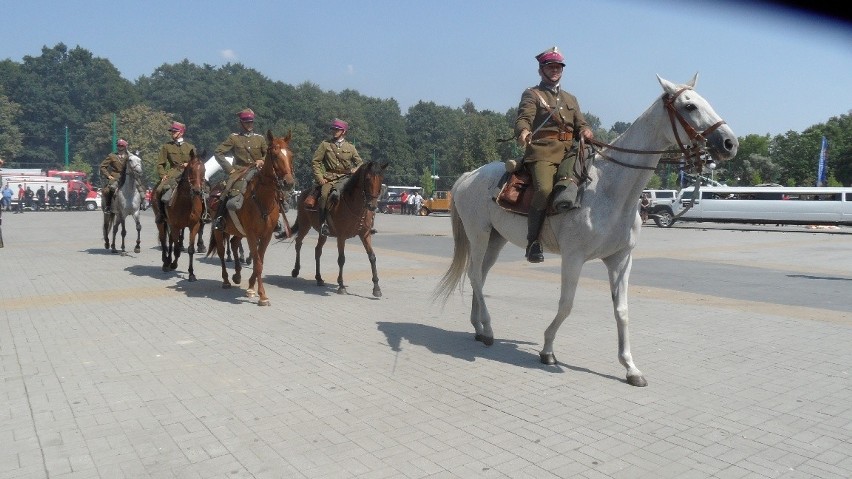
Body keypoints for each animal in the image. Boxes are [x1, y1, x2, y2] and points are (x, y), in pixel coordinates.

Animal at [155, 148, 206, 280]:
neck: (186, 201)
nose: (197, 191)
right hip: (161, 221)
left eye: (204, 170)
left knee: (171, 240)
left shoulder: (194, 226)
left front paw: (191, 273)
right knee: (164, 239)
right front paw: (173, 264)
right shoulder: (175, 226)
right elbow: (177, 248)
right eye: (191, 169)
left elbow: (190, 249)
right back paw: (166, 262)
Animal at [206, 129, 296, 306]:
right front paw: (262, 295)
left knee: (234, 244)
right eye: (275, 155)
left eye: (290, 155)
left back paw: (237, 275)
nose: (288, 182)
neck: (262, 198)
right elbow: (258, 262)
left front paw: (251, 288)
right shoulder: (252, 234)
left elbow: (258, 260)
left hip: (239, 232)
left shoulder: (265, 235)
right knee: (221, 252)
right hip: (220, 231)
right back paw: (226, 280)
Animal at [292, 160, 388, 296]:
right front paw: (341, 285)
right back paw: (295, 270)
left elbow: (372, 257)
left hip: (322, 233)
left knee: (317, 250)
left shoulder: (365, 234)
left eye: (381, 179)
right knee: (298, 243)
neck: (356, 206)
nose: (372, 206)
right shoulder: (341, 236)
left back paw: (319, 278)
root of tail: (303, 193)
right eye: (368, 179)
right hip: (304, 224)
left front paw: (376, 288)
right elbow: (341, 259)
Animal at [436, 76, 736, 390]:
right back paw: (489, 329)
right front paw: (547, 350)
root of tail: (468, 176)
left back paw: (479, 327)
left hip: (497, 239)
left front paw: (630, 367)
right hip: (479, 234)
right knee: (475, 276)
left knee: (480, 276)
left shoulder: (621, 259)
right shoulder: (573, 257)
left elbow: (622, 311)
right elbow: (566, 305)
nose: (730, 143)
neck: (609, 189)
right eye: (689, 106)